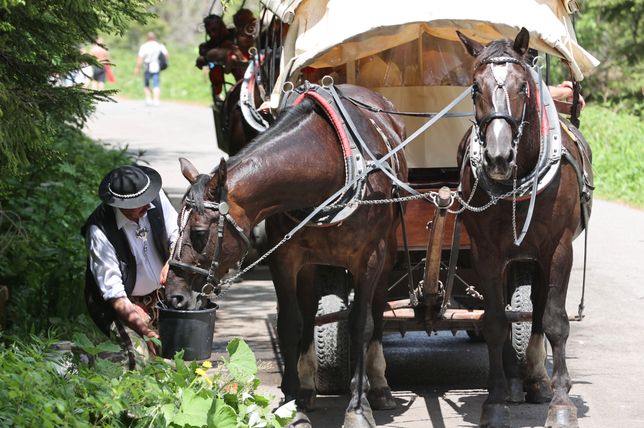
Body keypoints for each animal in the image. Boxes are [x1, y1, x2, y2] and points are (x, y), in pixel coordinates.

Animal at [165, 84, 408, 428]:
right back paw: (306, 388)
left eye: (199, 233)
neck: (332, 165)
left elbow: (362, 323)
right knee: (309, 310)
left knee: (378, 307)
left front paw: (358, 408)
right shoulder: (285, 258)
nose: (173, 296)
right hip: (310, 265)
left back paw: (380, 386)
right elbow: (290, 324)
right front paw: (293, 405)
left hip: (388, 252)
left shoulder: (370, 257)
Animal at [458, 28, 592, 426]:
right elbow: (494, 322)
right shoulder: (486, 252)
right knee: (513, 308)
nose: (498, 158)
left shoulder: (559, 248)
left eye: (522, 86)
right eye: (475, 87)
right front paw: (495, 398)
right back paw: (515, 382)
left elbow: (554, 320)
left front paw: (560, 402)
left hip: (536, 255)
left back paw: (535, 379)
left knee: (537, 308)